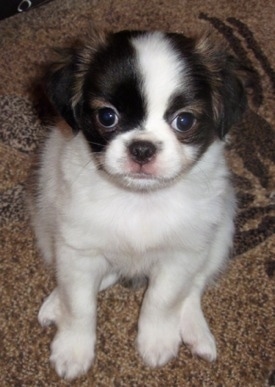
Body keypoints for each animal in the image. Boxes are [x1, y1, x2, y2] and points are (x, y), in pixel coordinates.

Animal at [29, 28, 248, 380]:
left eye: (184, 121)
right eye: (107, 116)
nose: (142, 148)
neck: (139, 200)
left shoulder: (182, 254)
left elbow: (163, 299)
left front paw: (157, 342)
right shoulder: (78, 249)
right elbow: (80, 306)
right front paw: (73, 349)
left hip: (221, 232)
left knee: (194, 286)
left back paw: (197, 333)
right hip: (45, 223)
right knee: (94, 277)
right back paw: (55, 302)